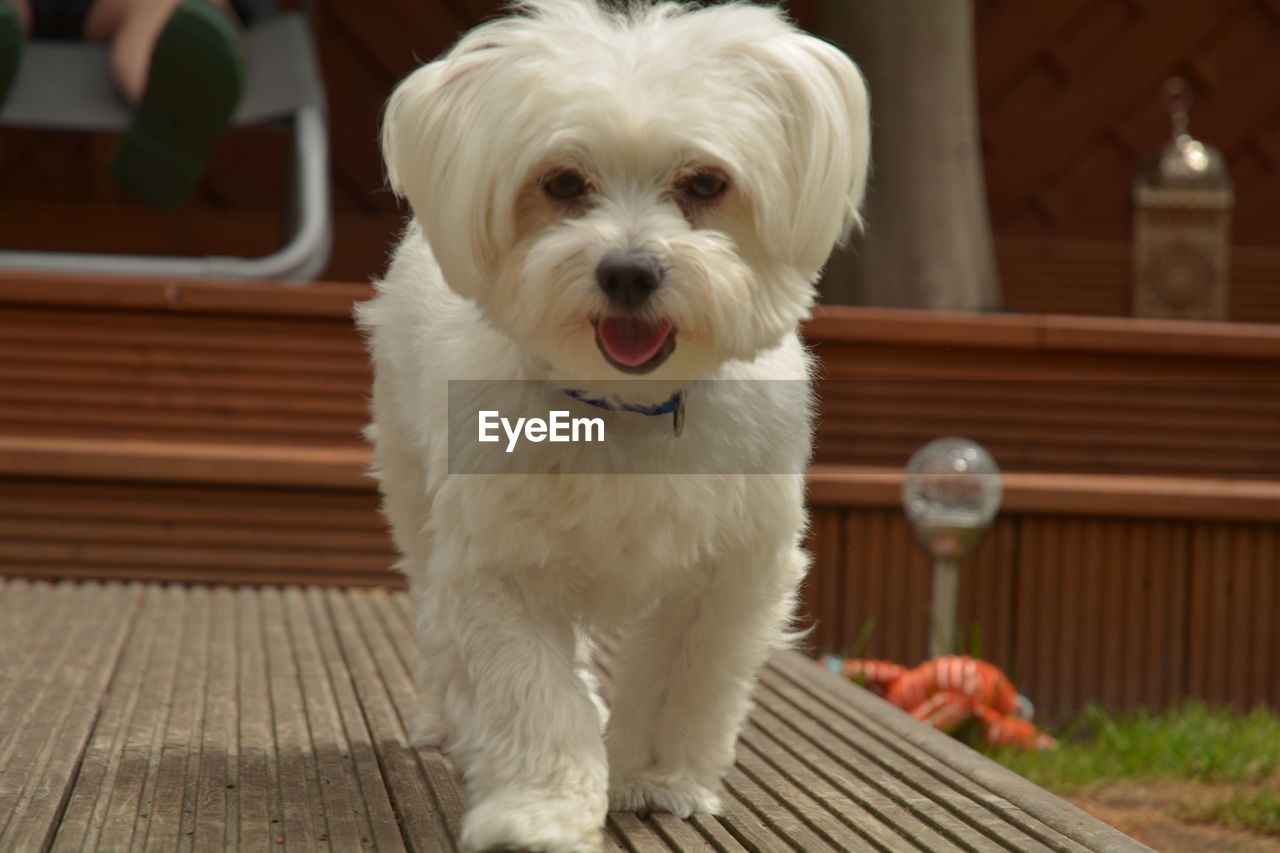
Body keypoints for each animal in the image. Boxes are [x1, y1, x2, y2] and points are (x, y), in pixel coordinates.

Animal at [360, 3, 870, 845]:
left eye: (706, 182)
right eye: (563, 182)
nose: (629, 271)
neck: (621, 407)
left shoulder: (730, 569)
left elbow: (681, 681)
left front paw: (656, 779)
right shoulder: (500, 566)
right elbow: (533, 694)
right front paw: (537, 809)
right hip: (413, 490)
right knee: (438, 616)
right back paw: (449, 719)